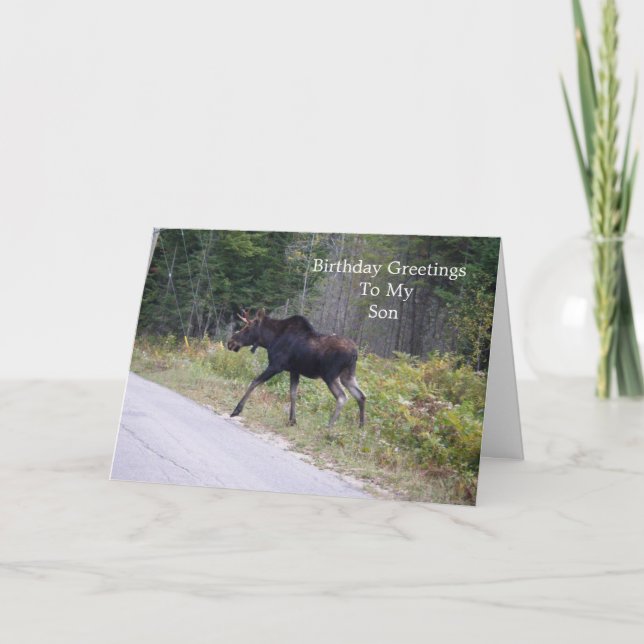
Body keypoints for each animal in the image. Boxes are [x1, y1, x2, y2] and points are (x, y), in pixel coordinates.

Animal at [227, 309, 366, 427]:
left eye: (247, 328)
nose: (230, 342)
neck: (269, 340)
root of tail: (355, 353)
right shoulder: (294, 370)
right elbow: (293, 393)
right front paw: (292, 420)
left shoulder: (275, 366)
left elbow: (254, 382)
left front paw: (236, 410)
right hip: (347, 376)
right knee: (361, 396)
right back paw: (361, 427)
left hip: (330, 376)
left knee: (342, 397)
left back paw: (329, 427)